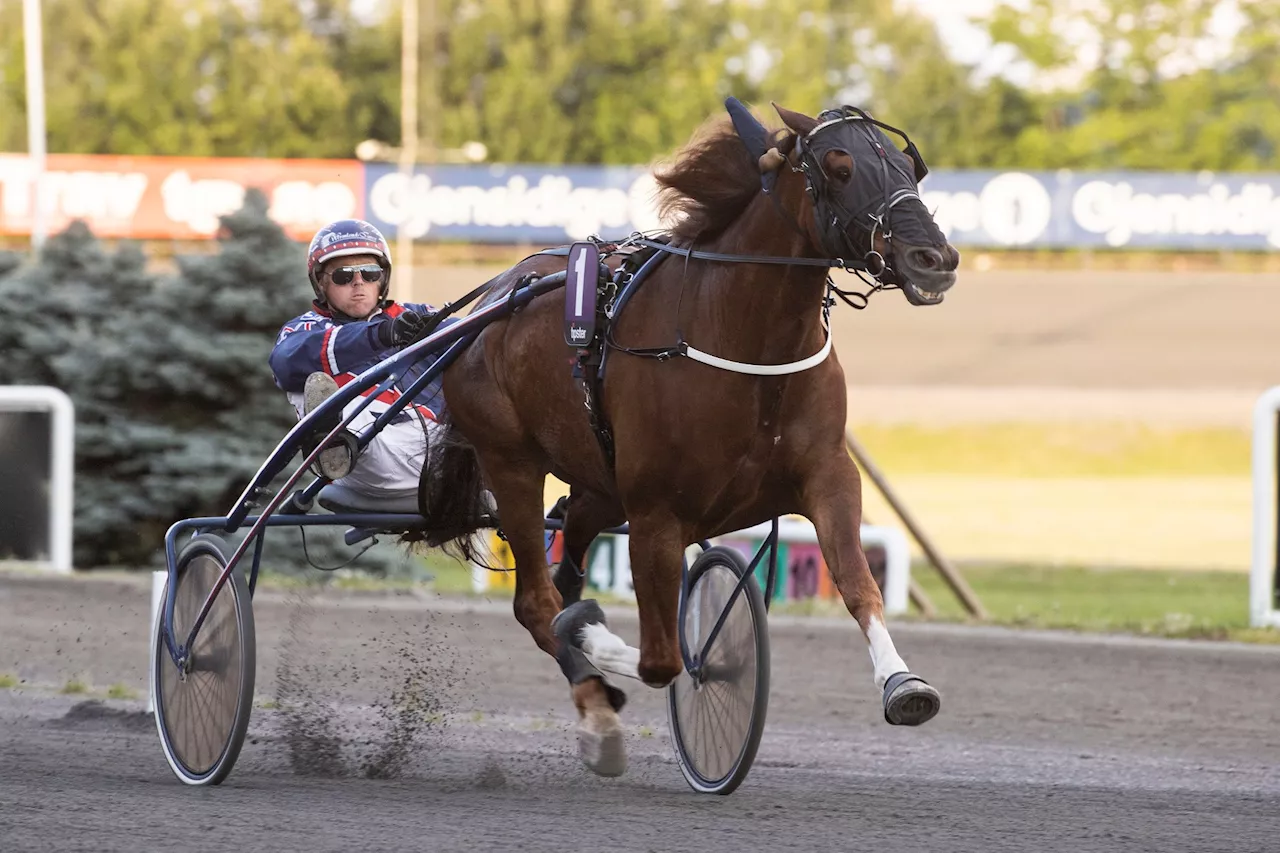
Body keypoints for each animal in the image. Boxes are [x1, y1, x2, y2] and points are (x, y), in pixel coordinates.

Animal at [419, 99, 962, 778]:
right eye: (840, 167)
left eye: (910, 168)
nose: (932, 258)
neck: (743, 337)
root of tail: (486, 303)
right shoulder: (658, 511)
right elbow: (663, 659)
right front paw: (595, 635)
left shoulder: (828, 474)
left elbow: (858, 583)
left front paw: (903, 684)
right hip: (512, 460)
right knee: (539, 603)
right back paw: (592, 689)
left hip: (602, 479)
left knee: (570, 542)